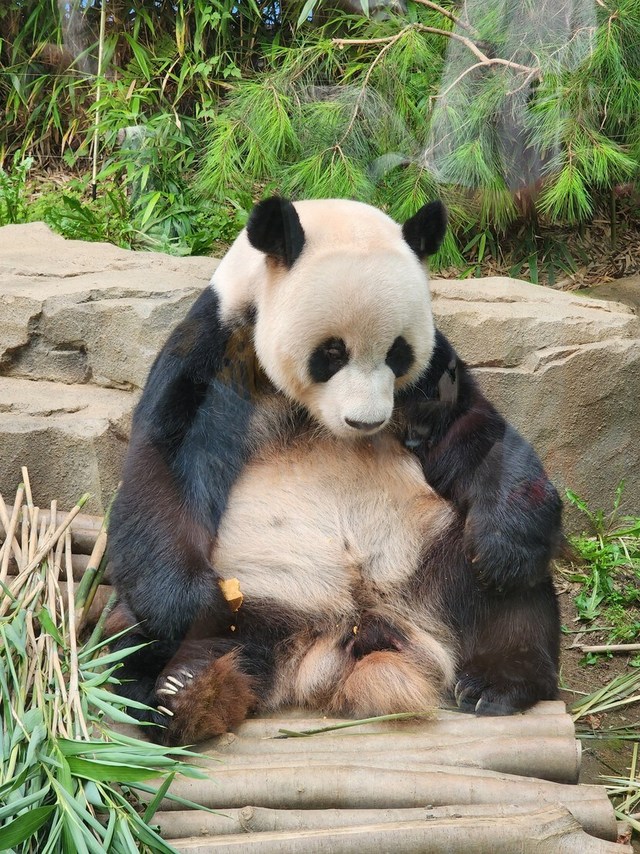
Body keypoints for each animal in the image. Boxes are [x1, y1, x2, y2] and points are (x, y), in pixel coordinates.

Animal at [106, 196, 562, 746]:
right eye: (331, 352)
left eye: (398, 352)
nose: (367, 421)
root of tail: (346, 632)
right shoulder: (215, 352)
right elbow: (167, 462)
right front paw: (193, 604)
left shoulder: (434, 375)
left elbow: (476, 433)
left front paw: (502, 546)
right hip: (263, 591)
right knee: (136, 637)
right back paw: (186, 691)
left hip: (433, 560)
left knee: (515, 598)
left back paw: (496, 680)